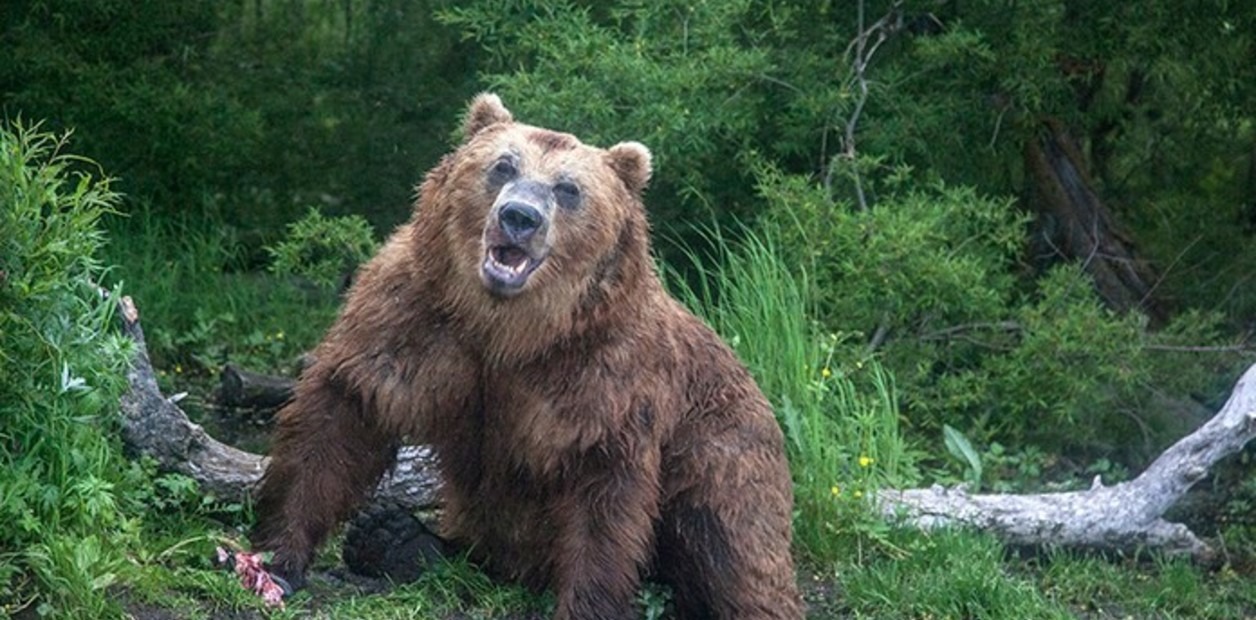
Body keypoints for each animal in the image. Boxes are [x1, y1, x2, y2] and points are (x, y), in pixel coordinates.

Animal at [252, 93, 803, 620]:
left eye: (568, 188)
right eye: (503, 165)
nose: (519, 217)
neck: (508, 328)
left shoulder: (603, 370)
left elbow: (603, 488)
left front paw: (589, 605)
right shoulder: (415, 316)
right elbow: (344, 413)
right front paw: (279, 557)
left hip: (721, 446)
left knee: (728, 536)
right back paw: (398, 539)